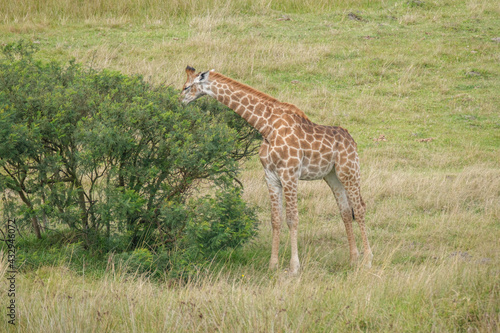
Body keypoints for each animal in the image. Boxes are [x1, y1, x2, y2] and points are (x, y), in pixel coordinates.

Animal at [180, 65, 372, 272]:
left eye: (187, 86)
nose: (179, 100)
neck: (266, 126)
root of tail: (352, 140)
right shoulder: (271, 176)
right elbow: (275, 219)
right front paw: (273, 264)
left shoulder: (289, 174)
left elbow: (292, 218)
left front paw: (294, 266)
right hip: (332, 176)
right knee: (345, 211)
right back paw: (353, 259)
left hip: (349, 170)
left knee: (360, 207)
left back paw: (368, 259)